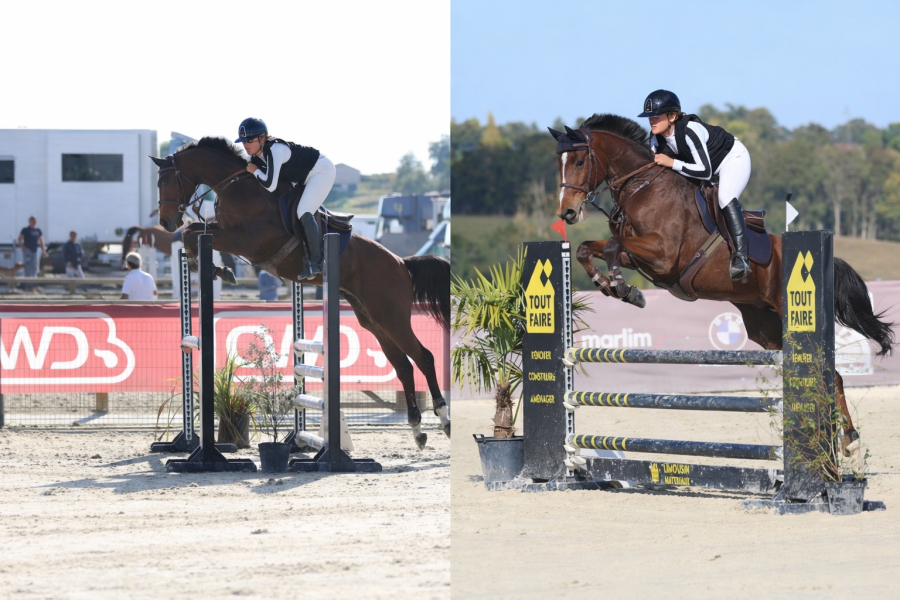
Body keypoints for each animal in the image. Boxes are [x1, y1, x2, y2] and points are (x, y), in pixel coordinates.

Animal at [150, 137, 451, 450]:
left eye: (167, 181)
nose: (167, 222)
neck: (236, 185)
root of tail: (402, 263)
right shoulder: (225, 231)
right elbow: (194, 231)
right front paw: (209, 267)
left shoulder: (246, 240)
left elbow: (193, 233)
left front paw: (215, 269)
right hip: (374, 320)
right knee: (403, 366)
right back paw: (417, 430)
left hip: (392, 318)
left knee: (424, 358)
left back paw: (444, 419)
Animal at [550, 114, 894, 466]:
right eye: (559, 163)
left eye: (579, 161)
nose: (567, 213)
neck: (642, 188)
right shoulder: (639, 255)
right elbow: (587, 248)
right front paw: (610, 286)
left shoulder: (662, 255)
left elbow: (611, 246)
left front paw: (623, 288)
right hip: (765, 327)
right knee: (825, 373)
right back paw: (838, 441)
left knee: (831, 374)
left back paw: (846, 442)